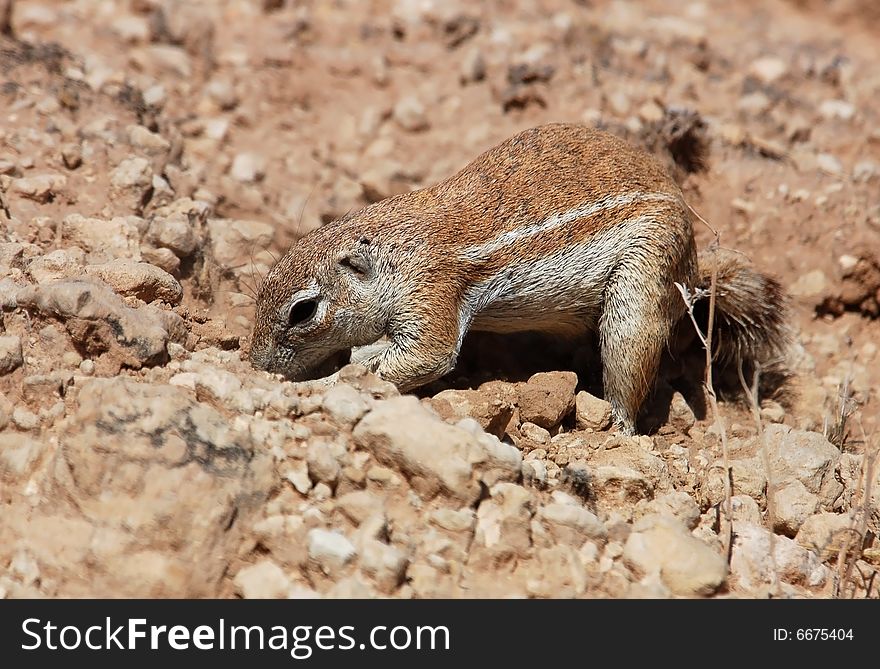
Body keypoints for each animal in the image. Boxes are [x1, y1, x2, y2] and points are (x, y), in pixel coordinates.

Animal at [249, 122, 792, 430]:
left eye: (303, 311)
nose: (256, 364)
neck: (393, 247)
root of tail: (697, 270)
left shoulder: (430, 291)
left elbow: (426, 356)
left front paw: (335, 377)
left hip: (641, 289)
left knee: (629, 370)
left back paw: (611, 425)